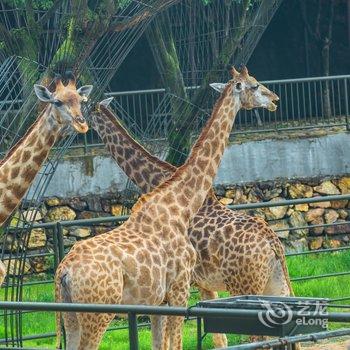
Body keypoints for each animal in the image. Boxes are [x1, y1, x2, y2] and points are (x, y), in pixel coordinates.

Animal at [54, 66, 278, 350]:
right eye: (255, 85)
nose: (274, 100)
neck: (180, 204)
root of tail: (63, 271)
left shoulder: (164, 296)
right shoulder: (179, 288)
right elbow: (179, 341)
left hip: (74, 315)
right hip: (97, 312)